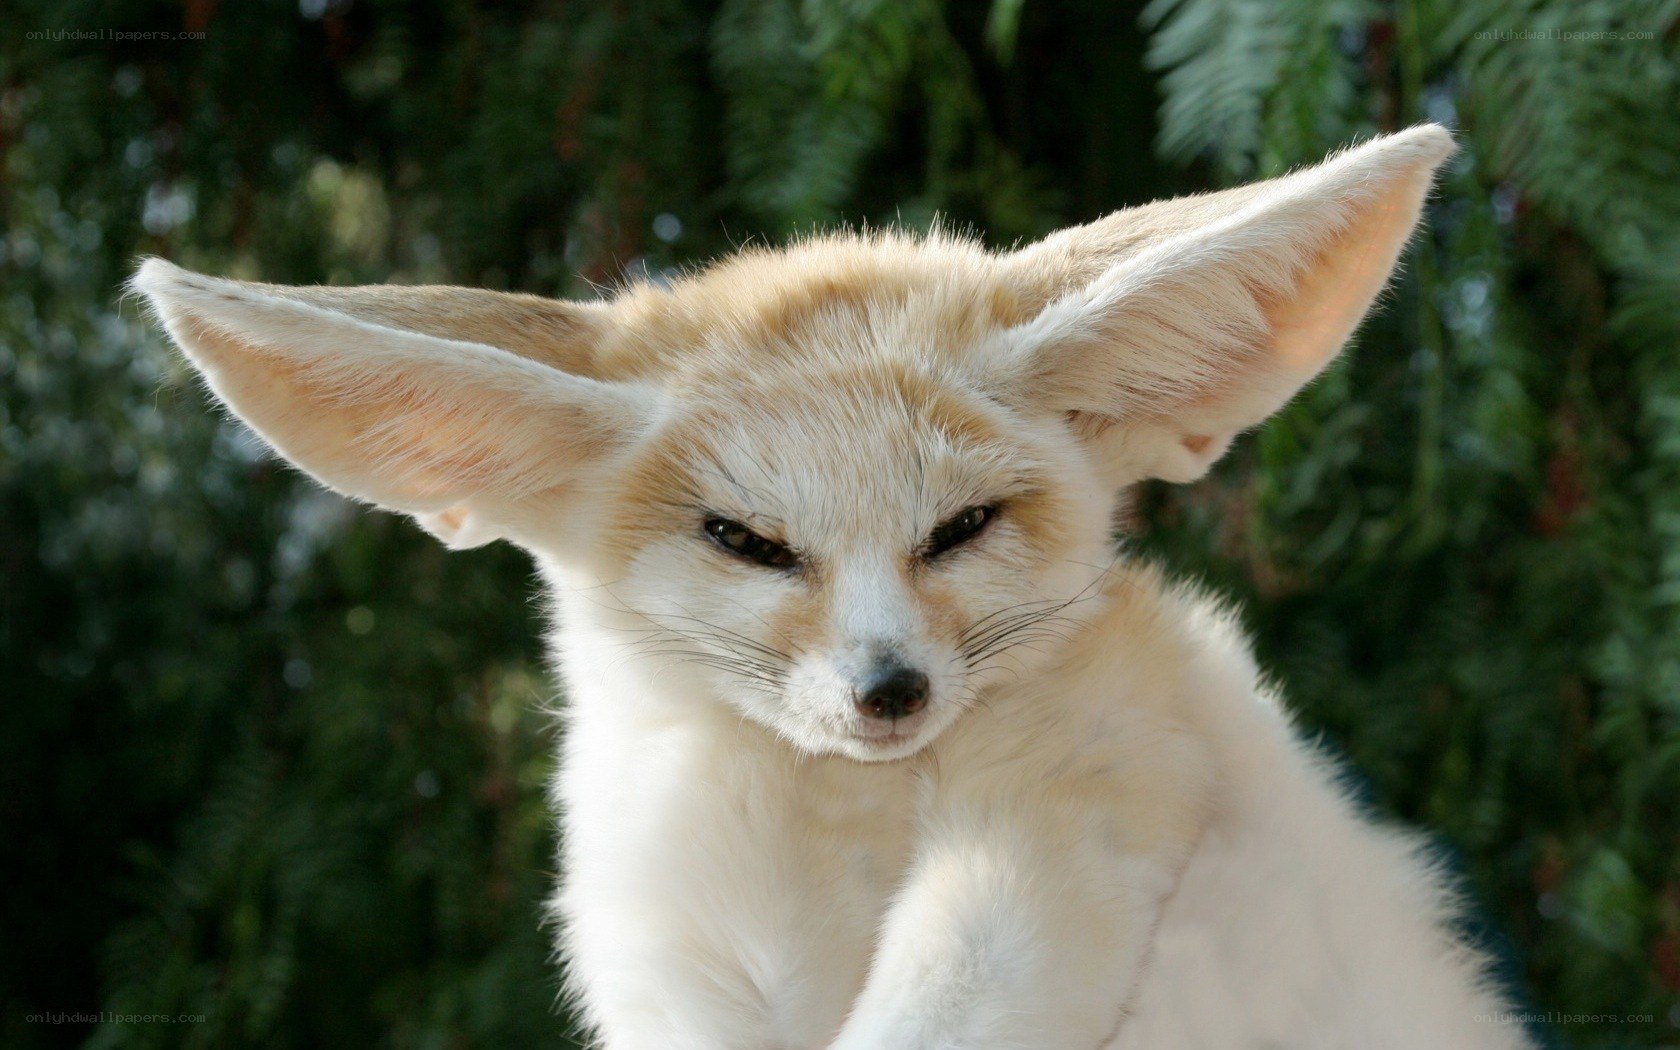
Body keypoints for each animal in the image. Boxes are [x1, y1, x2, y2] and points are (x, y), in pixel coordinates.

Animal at [134, 124, 1532, 1049]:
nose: (889, 692)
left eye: (961, 528)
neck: (830, 832)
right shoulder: (692, 966)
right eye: (747, 541)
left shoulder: (1066, 833)